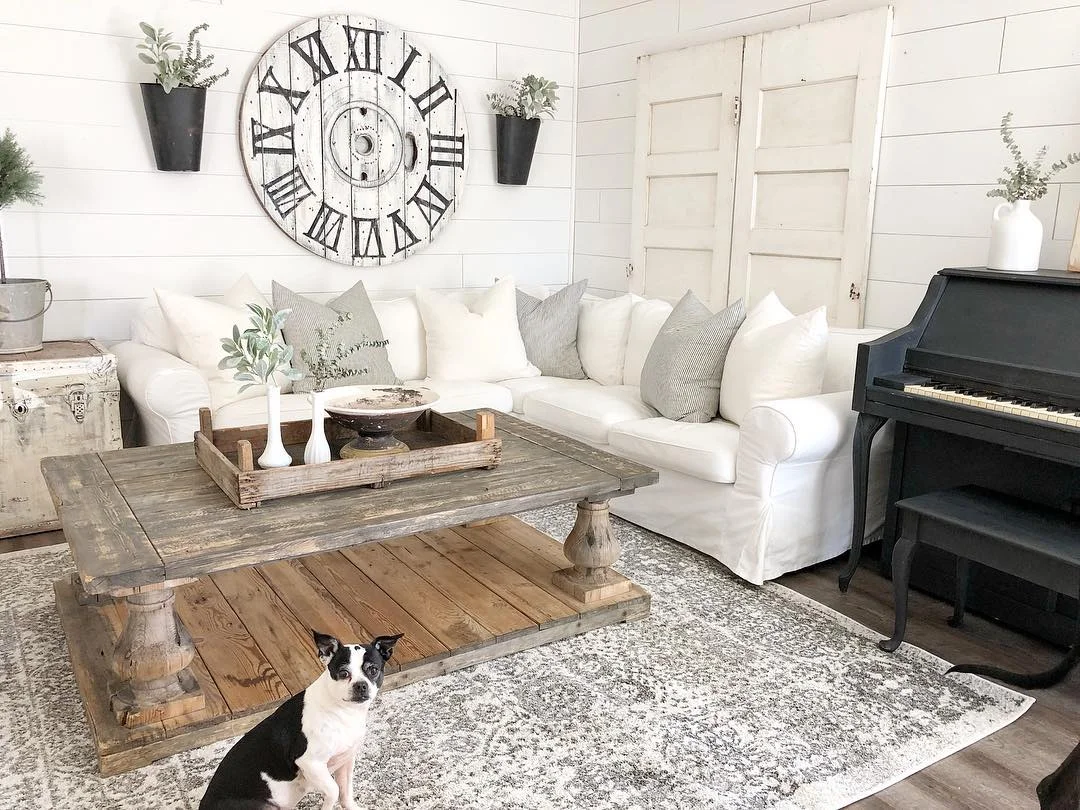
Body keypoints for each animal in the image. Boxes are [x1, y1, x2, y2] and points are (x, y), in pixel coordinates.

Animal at [198, 635, 401, 810]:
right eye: (343, 673)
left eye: (373, 670)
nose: (360, 685)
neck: (342, 711)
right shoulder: (310, 762)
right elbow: (334, 790)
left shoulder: (346, 759)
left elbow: (345, 792)